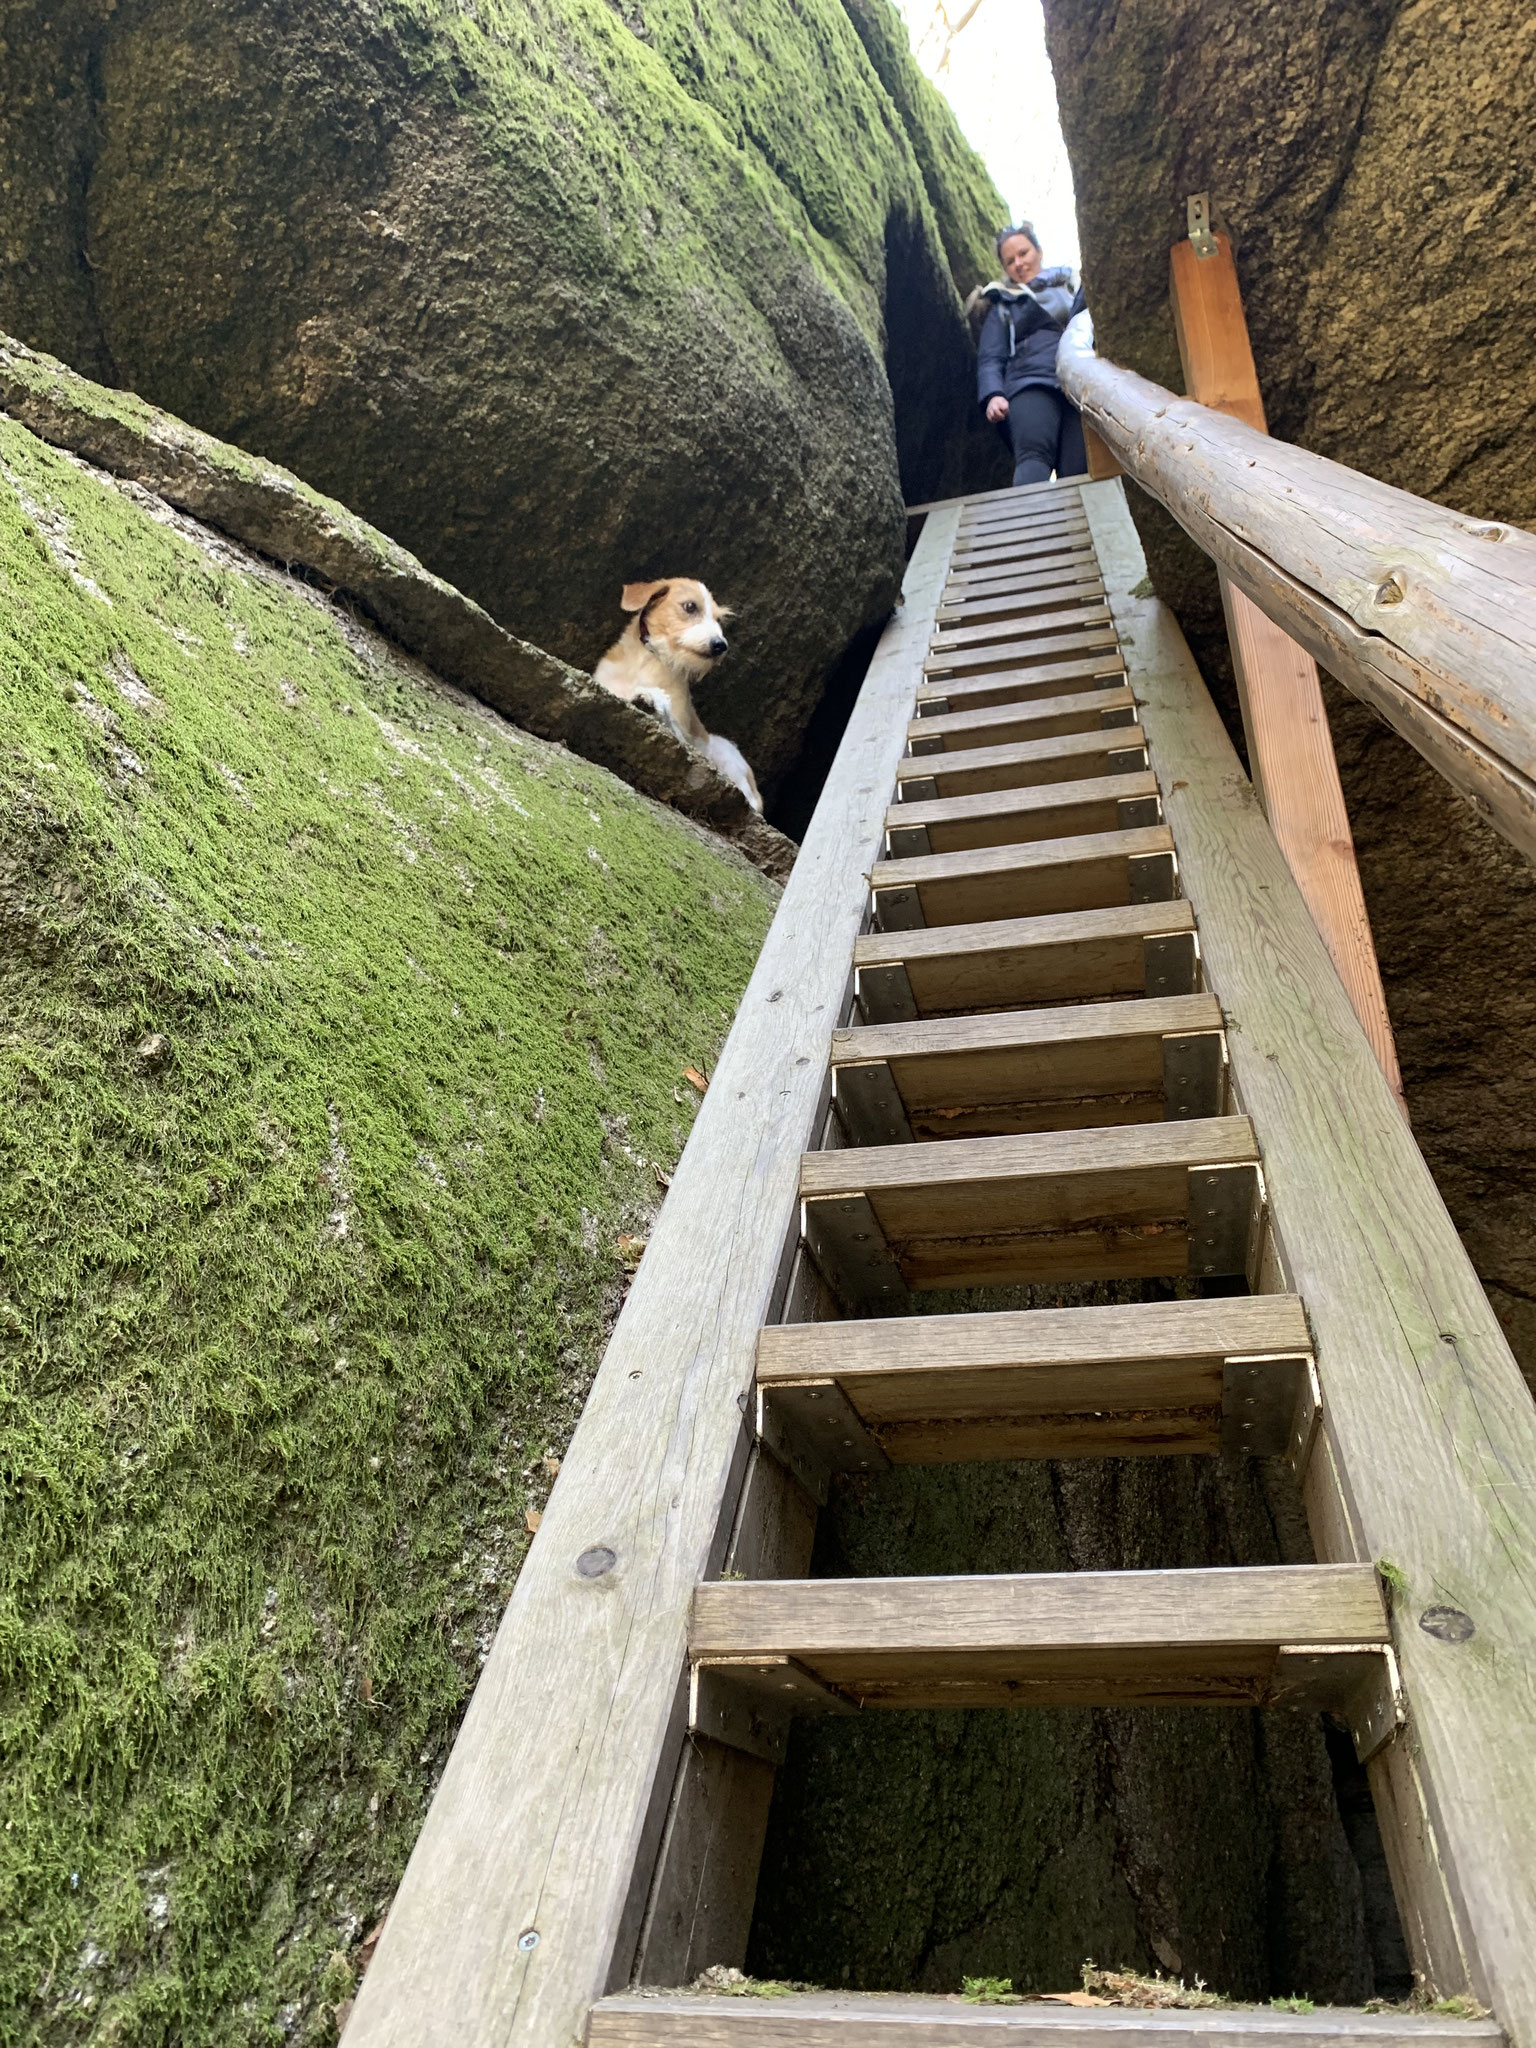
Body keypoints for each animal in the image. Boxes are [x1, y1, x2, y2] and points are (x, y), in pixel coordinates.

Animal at [593, 577, 765, 815]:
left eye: (718, 619)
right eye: (690, 606)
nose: (720, 646)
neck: (651, 660)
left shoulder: (683, 735)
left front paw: (651, 698)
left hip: (727, 751)